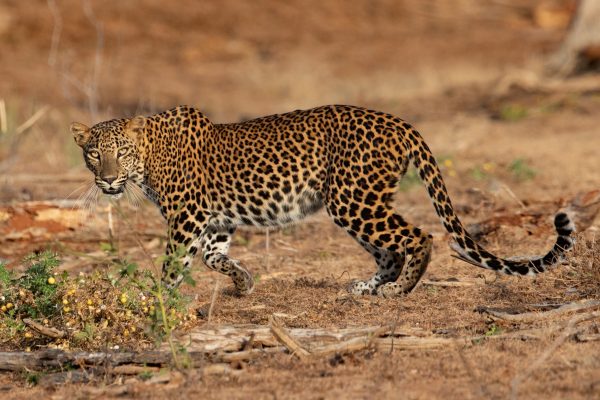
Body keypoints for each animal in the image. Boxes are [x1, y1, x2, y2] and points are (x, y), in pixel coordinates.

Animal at [71, 104, 576, 298]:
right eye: (94, 153)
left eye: (121, 152)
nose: (108, 179)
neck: (150, 156)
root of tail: (400, 122)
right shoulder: (215, 220)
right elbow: (215, 257)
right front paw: (243, 283)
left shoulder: (187, 216)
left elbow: (175, 261)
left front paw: (156, 298)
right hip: (358, 201)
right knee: (390, 250)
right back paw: (367, 287)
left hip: (352, 199)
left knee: (419, 236)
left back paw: (399, 290)